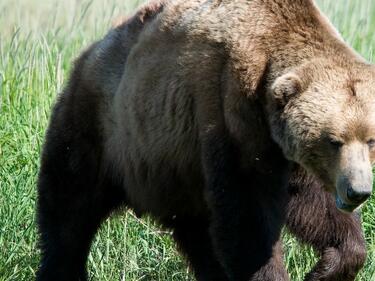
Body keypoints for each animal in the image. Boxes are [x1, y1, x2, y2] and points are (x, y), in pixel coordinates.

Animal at [36, 0, 372, 278]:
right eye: (333, 140)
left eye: (370, 139)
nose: (358, 191)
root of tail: (90, 50)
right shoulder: (231, 114)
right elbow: (248, 217)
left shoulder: (284, 150)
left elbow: (313, 204)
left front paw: (329, 265)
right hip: (101, 129)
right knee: (68, 211)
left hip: (176, 175)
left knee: (198, 237)